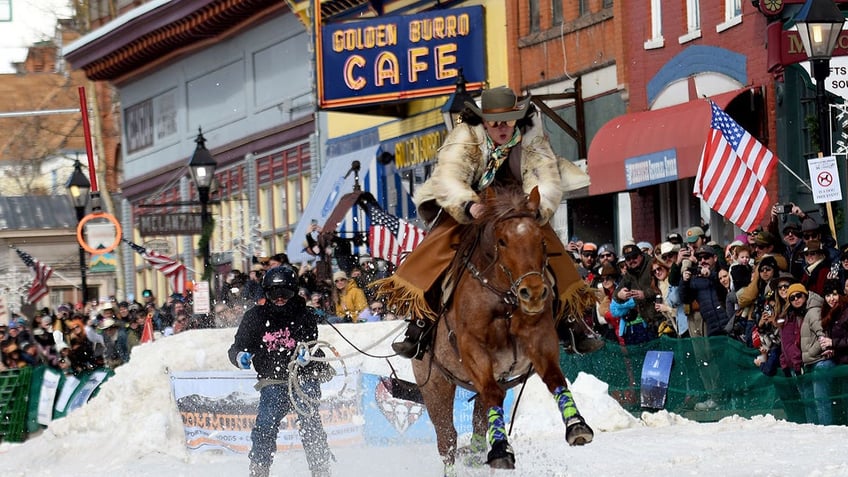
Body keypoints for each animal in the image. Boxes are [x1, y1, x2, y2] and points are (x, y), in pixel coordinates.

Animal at [414, 184, 592, 470]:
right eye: (502, 241)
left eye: (541, 241)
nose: (533, 293)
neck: (505, 300)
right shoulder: (473, 349)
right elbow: (493, 394)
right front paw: (500, 449)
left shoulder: (540, 339)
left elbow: (554, 378)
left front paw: (576, 425)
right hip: (435, 385)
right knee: (447, 440)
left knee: (477, 425)